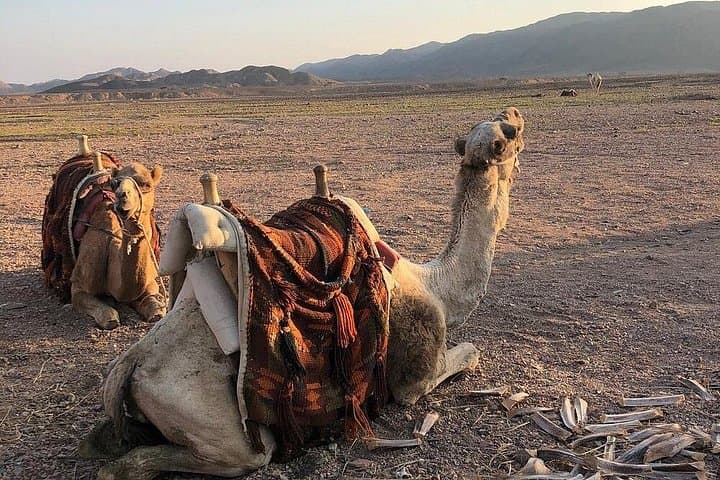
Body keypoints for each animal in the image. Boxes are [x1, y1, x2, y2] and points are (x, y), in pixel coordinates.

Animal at [41, 136, 166, 329]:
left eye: (146, 184)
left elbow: (156, 308)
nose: (123, 199)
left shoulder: (150, 283)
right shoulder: (79, 287)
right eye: (115, 184)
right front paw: (111, 313)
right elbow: (108, 315)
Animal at [80, 107, 526, 479]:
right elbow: (468, 354)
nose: (515, 113)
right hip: (225, 430)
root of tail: (133, 362)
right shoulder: (416, 374)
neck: (435, 284)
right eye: (507, 134)